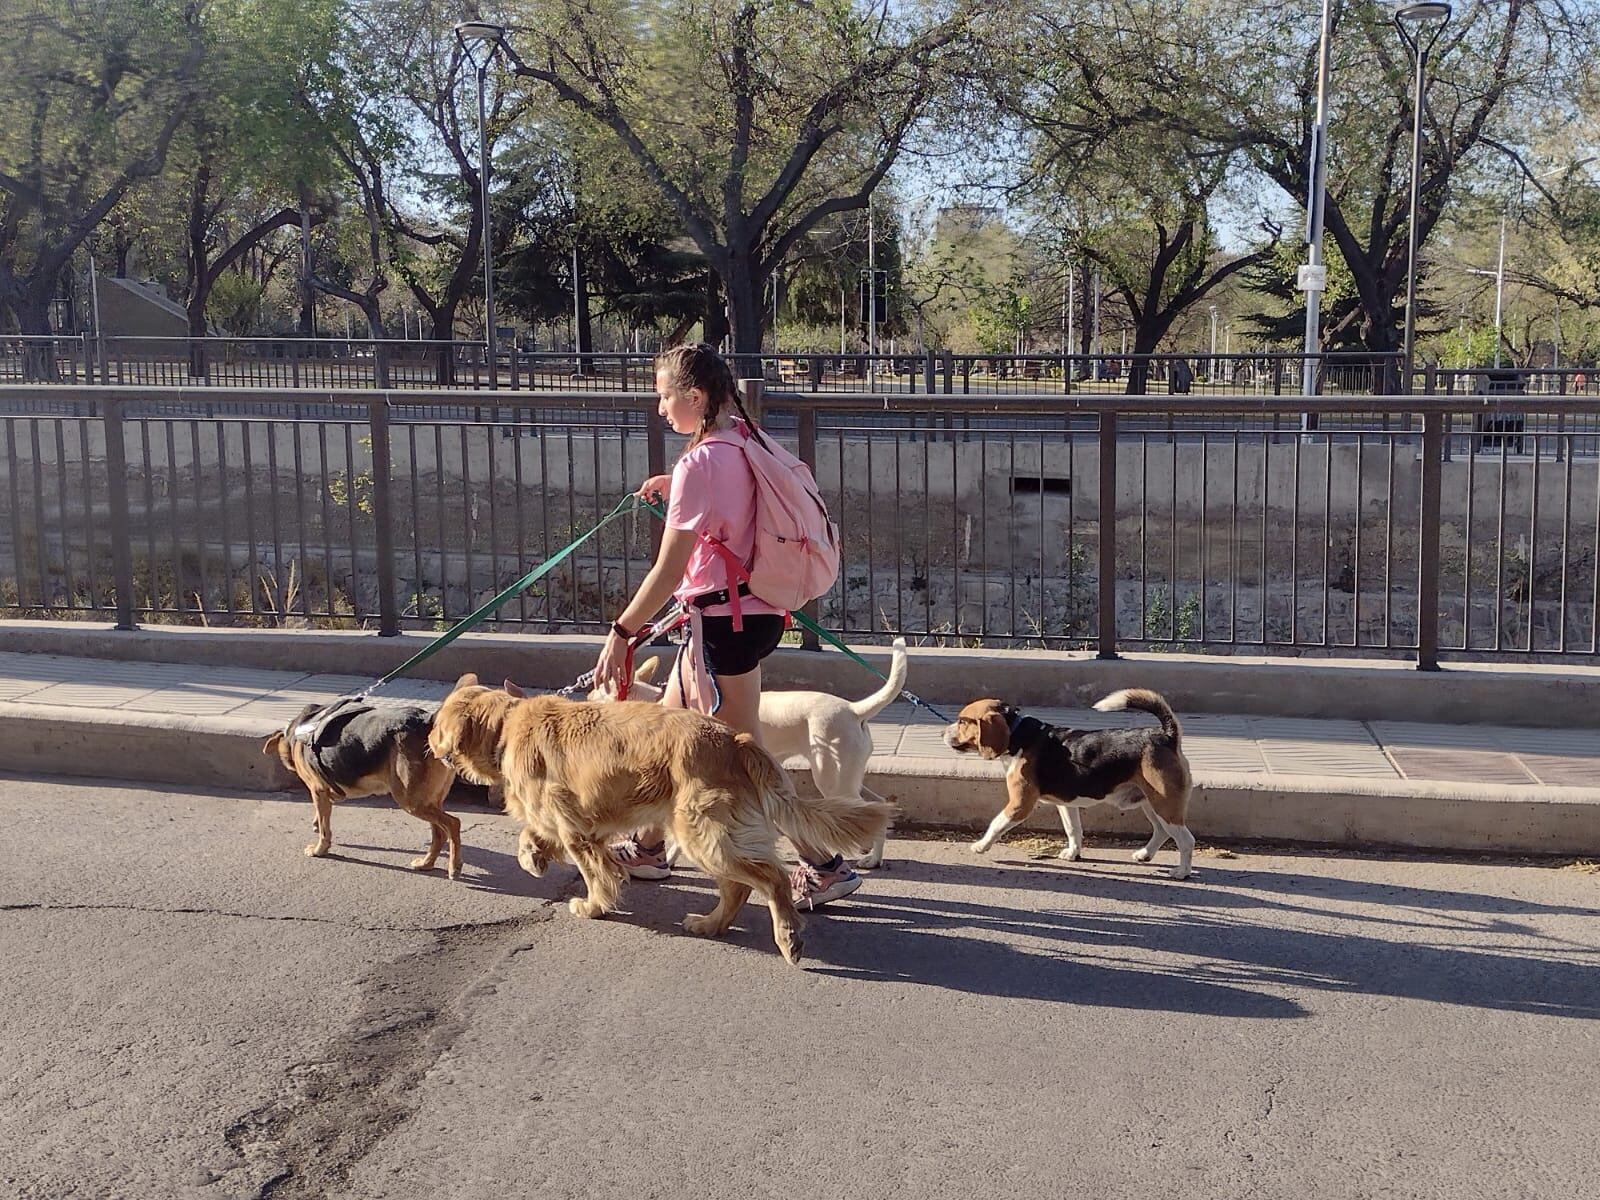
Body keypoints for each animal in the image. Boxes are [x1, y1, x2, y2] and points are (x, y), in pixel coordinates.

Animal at [257, 700, 454, 876]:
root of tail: (427, 721)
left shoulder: (318, 791)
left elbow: (324, 829)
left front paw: (319, 849)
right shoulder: (324, 794)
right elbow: (321, 816)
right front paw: (316, 824)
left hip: (411, 800)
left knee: (453, 823)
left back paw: (454, 867)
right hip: (428, 799)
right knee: (439, 833)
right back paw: (426, 863)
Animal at [940, 691, 1196, 876]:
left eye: (962, 722)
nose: (941, 733)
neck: (1018, 735)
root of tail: (1166, 735)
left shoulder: (1020, 804)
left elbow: (996, 823)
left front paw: (981, 845)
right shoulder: (1066, 803)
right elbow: (1073, 829)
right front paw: (1073, 853)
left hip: (1164, 804)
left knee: (1185, 840)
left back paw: (1181, 872)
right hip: (1150, 803)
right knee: (1161, 831)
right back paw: (1145, 854)